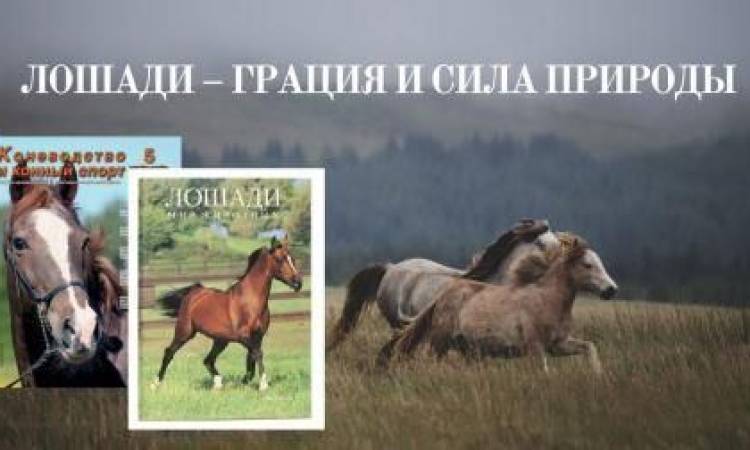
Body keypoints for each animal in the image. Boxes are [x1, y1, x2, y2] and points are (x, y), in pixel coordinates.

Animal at [153, 237, 303, 391]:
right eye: (279, 259)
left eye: (292, 258)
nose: (298, 283)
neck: (250, 301)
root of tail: (194, 292)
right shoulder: (243, 336)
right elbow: (257, 354)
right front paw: (263, 385)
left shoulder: (258, 336)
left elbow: (251, 359)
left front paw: (245, 381)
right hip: (185, 332)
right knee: (169, 352)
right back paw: (156, 383)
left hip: (220, 340)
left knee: (208, 360)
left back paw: (218, 384)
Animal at [378, 234, 618, 374]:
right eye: (587, 265)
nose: (611, 290)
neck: (547, 300)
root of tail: (443, 295)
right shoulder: (535, 347)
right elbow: (544, 371)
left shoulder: (558, 345)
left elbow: (589, 347)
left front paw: (598, 375)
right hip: (440, 341)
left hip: (467, 348)